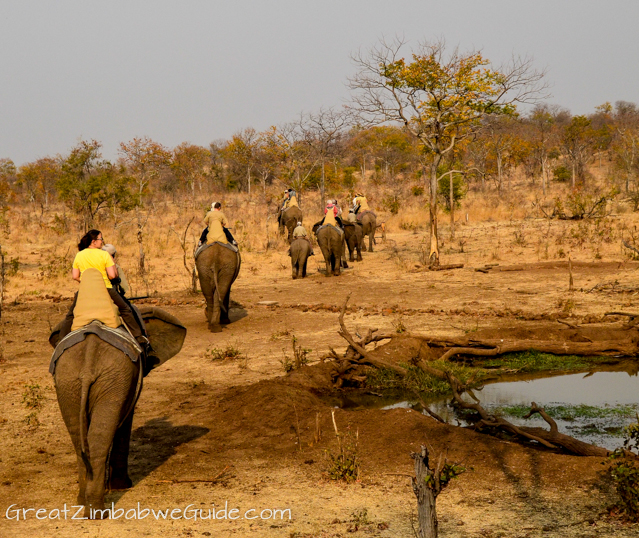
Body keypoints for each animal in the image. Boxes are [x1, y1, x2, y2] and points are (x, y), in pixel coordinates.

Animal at [49, 308, 185, 516]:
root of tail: (88, 361)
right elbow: (125, 422)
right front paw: (123, 486)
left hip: (69, 380)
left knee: (82, 438)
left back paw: (84, 502)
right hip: (113, 378)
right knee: (99, 436)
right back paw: (97, 511)